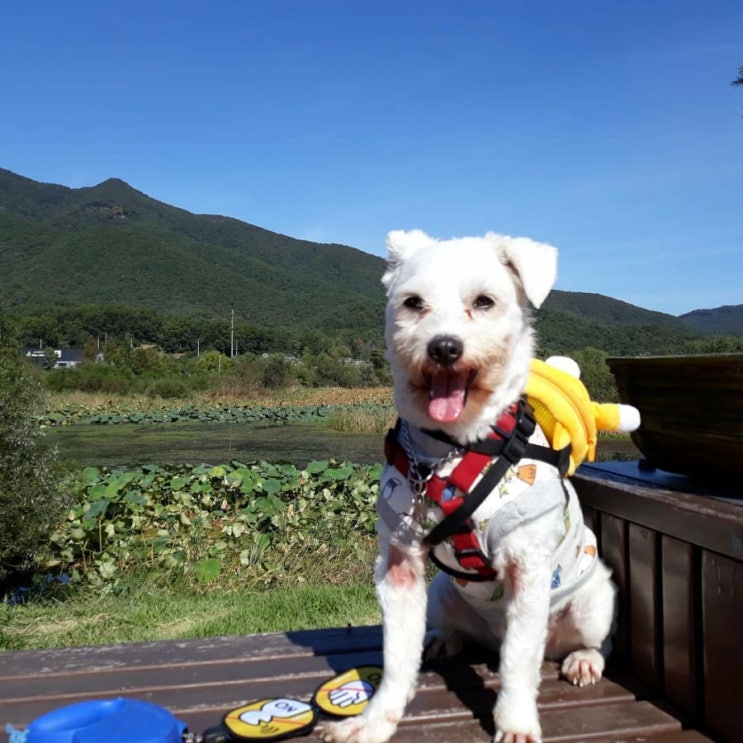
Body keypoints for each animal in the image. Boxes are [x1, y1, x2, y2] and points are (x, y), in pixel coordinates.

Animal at [324, 230, 616, 740]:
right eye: (413, 302)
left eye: (484, 301)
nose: (444, 347)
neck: (454, 448)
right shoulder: (399, 565)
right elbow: (396, 658)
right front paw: (373, 722)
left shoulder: (528, 568)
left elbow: (519, 661)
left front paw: (516, 722)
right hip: (443, 594)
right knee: (453, 630)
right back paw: (443, 641)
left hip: (593, 601)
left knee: (588, 644)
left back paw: (583, 660)